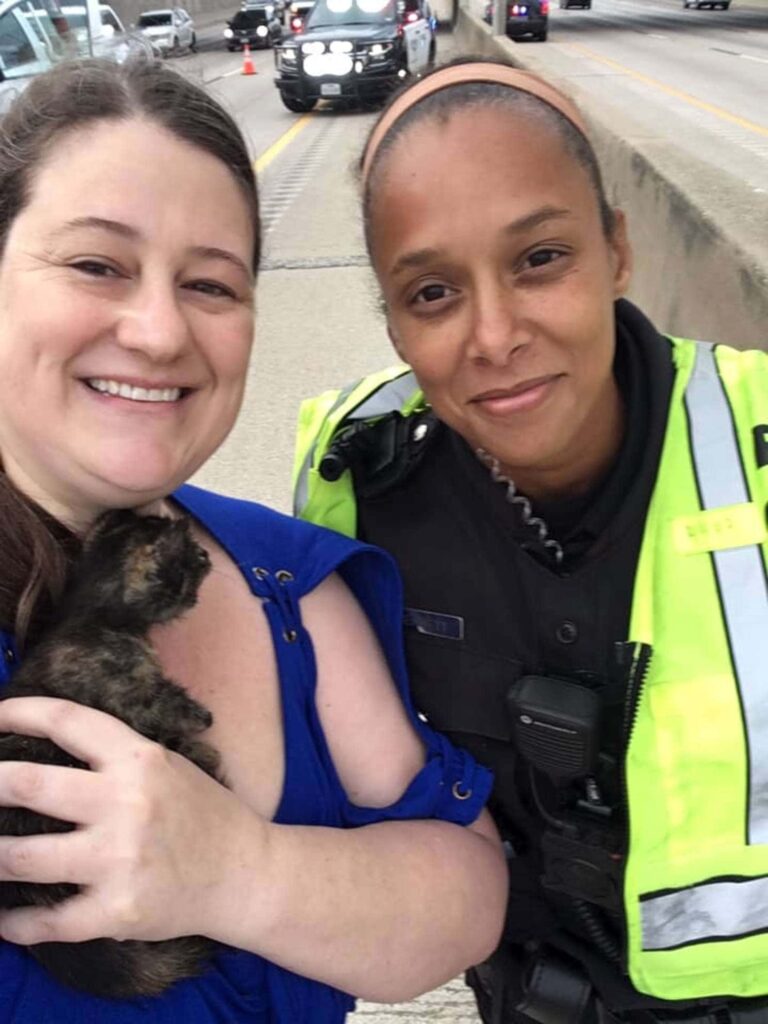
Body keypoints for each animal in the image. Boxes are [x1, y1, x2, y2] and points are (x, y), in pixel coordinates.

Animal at [0, 512, 222, 999]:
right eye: (194, 557)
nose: (208, 555)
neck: (91, 617)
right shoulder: (128, 688)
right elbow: (170, 707)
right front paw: (201, 726)